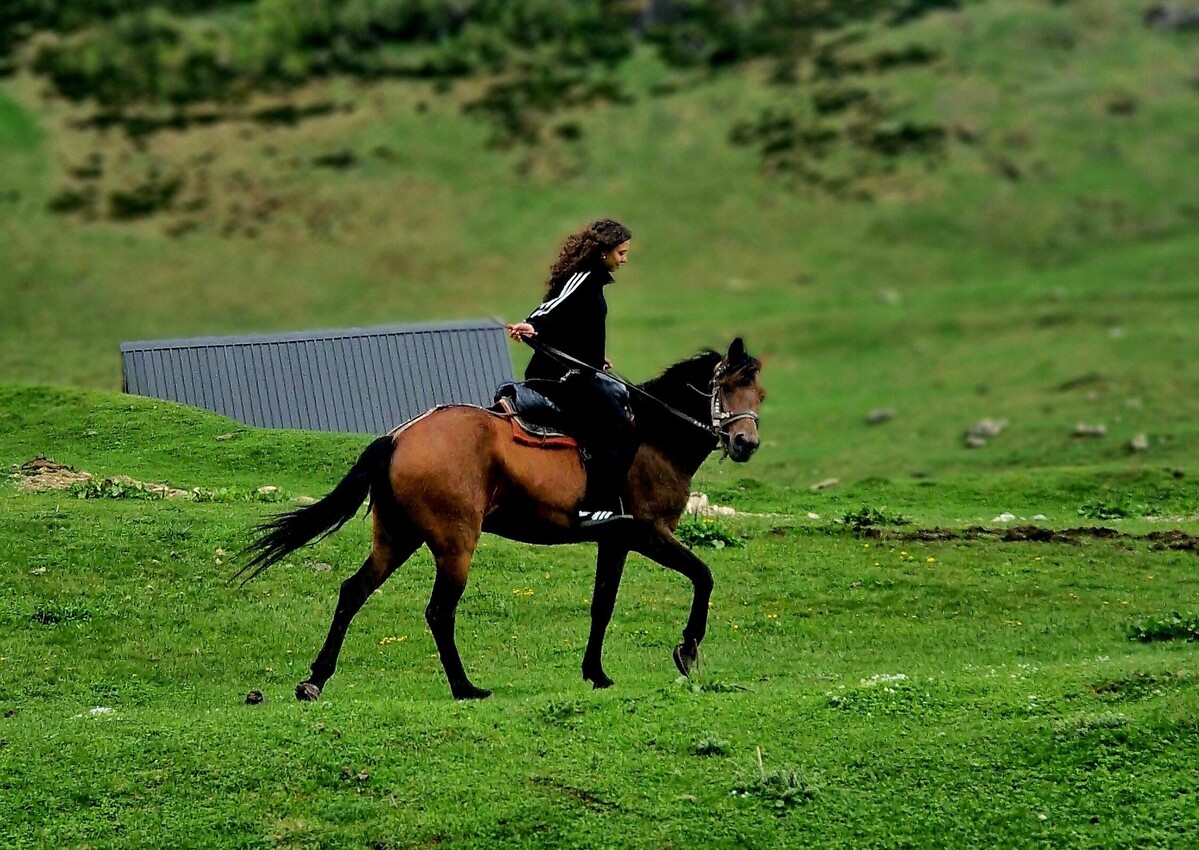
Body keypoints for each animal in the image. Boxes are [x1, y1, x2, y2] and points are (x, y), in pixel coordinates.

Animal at [235, 338, 765, 700]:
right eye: (728, 387)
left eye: (759, 393)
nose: (746, 444)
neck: (654, 437)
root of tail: (399, 436)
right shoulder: (647, 533)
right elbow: (703, 576)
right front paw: (687, 651)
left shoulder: (613, 542)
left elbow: (602, 606)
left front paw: (595, 673)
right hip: (454, 545)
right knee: (438, 612)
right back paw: (465, 687)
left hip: (396, 537)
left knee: (352, 592)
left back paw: (315, 679)